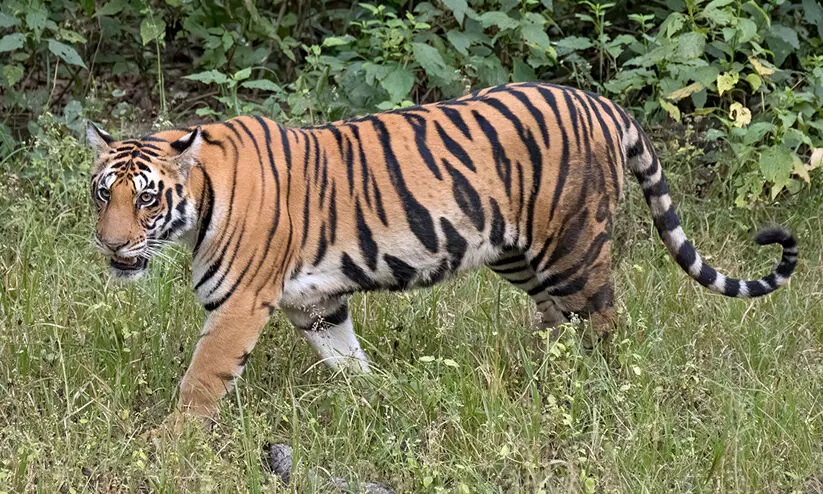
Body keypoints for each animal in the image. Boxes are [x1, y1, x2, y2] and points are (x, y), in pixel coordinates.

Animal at [86, 82, 797, 424]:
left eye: (146, 199)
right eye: (102, 194)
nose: (111, 244)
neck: (200, 203)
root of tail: (600, 102)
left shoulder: (239, 304)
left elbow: (202, 379)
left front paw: (169, 444)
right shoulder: (315, 303)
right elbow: (346, 358)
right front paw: (378, 397)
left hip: (573, 248)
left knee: (604, 322)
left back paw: (599, 389)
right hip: (519, 254)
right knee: (556, 321)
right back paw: (541, 377)